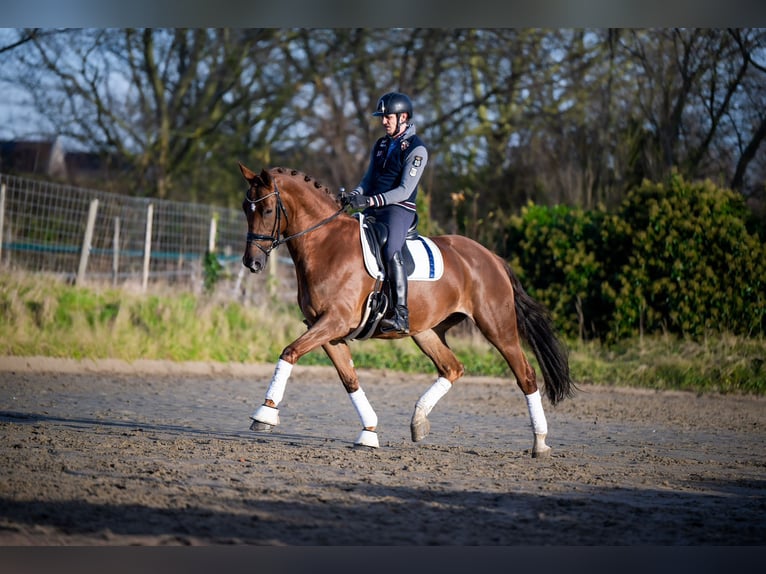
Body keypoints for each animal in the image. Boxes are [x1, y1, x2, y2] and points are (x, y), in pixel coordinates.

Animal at [240, 163, 576, 460]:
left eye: (267, 210)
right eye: (245, 209)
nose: (251, 263)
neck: (326, 244)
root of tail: (492, 258)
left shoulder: (334, 322)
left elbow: (289, 352)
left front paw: (264, 414)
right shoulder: (326, 330)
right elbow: (349, 379)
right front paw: (369, 432)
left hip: (498, 327)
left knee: (526, 376)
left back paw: (540, 443)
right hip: (426, 331)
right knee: (452, 368)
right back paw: (418, 421)